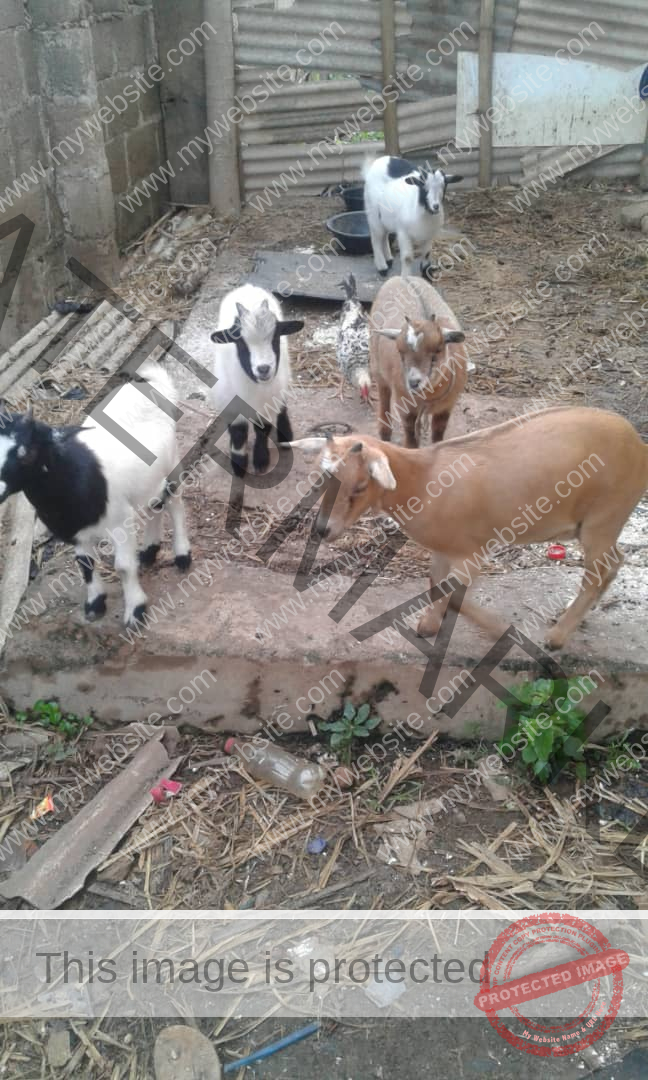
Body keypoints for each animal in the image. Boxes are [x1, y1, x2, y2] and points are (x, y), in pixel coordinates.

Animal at [0, 361, 191, 628]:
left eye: (25, 452)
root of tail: (152, 384)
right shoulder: (76, 532)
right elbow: (86, 566)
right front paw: (95, 604)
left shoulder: (119, 522)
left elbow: (123, 567)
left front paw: (135, 610)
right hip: (146, 477)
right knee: (155, 503)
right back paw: (149, 550)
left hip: (172, 463)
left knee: (174, 502)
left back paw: (182, 554)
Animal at [210, 284, 303, 476]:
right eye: (239, 341)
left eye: (276, 337)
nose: (264, 369)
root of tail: (248, 286)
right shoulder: (230, 405)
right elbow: (238, 434)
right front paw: (239, 465)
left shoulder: (266, 405)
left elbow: (262, 431)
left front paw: (261, 461)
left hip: (283, 377)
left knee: (282, 405)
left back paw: (285, 436)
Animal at [287, 406, 648, 651]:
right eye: (321, 479)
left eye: (361, 486)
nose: (322, 530)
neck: (422, 480)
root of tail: (637, 444)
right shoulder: (442, 549)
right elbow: (436, 584)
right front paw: (428, 626)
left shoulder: (471, 551)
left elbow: (454, 594)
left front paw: (497, 630)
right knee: (613, 562)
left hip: (604, 516)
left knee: (602, 568)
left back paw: (557, 636)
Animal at [369, 276, 467, 446]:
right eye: (400, 353)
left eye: (437, 351)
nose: (413, 382)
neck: (429, 395)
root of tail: (400, 277)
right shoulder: (405, 405)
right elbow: (410, 434)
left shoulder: (447, 406)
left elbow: (438, 431)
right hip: (377, 367)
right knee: (384, 396)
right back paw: (384, 432)